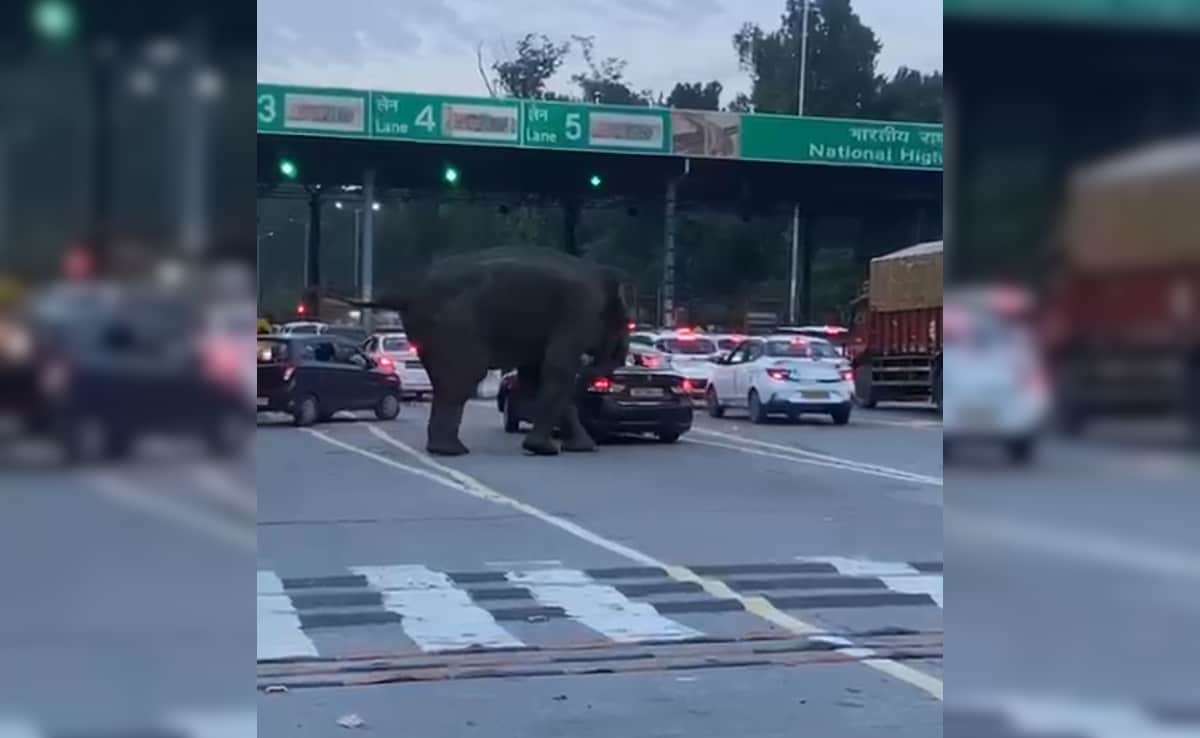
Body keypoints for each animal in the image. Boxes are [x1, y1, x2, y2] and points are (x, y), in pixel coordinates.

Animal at [339, 247, 630, 457]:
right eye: (624, 322)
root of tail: (408, 294)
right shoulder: (580, 309)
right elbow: (558, 370)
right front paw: (545, 449)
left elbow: (538, 375)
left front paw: (582, 448)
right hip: (456, 324)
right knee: (465, 376)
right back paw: (452, 451)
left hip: (429, 331)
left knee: (447, 381)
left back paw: (444, 448)